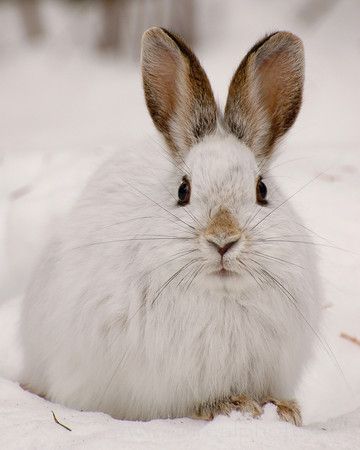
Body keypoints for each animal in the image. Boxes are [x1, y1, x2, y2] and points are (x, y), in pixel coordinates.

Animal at [21, 29, 320, 426]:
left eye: (262, 190)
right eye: (183, 190)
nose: (222, 240)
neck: (221, 294)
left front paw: (283, 409)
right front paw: (229, 405)